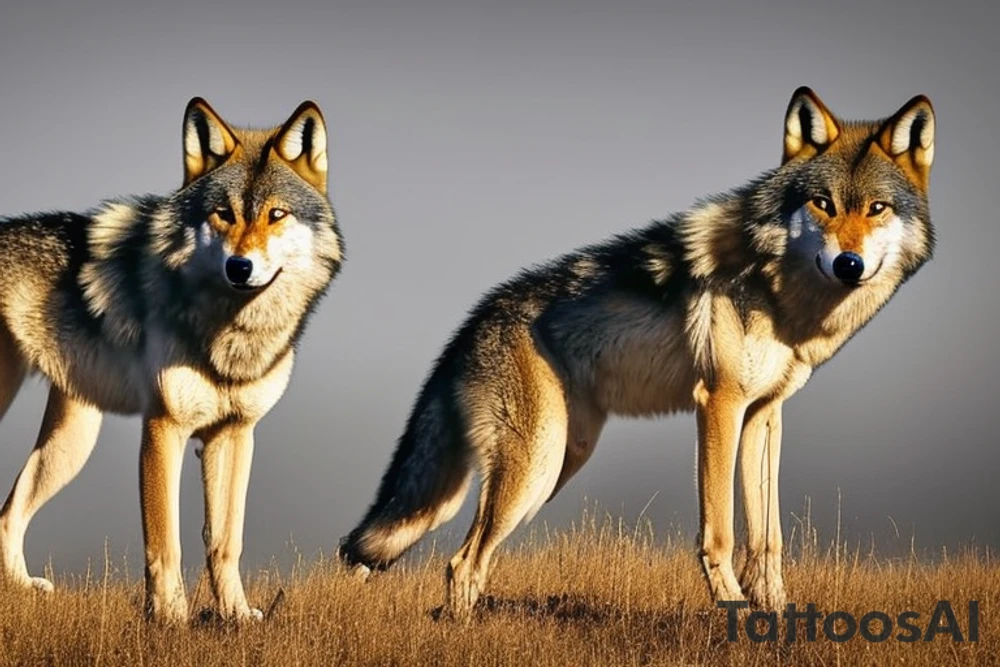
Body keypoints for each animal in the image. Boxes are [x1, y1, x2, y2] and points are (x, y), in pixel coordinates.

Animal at [0, 98, 343, 623]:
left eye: (276, 214)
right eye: (223, 214)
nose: (239, 266)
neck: (229, 335)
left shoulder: (234, 433)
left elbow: (225, 541)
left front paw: (235, 616)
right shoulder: (164, 427)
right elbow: (166, 542)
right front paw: (170, 620)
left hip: (72, 442)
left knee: (8, 514)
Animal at [339, 87, 936, 618]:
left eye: (877, 209)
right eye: (823, 204)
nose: (849, 264)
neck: (781, 293)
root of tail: (472, 321)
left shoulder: (765, 414)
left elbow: (768, 538)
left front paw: (778, 615)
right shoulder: (719, 402)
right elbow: (720, 532)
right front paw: (737, 614)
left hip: (558, 460)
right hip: (536, 467)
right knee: (461, 562)